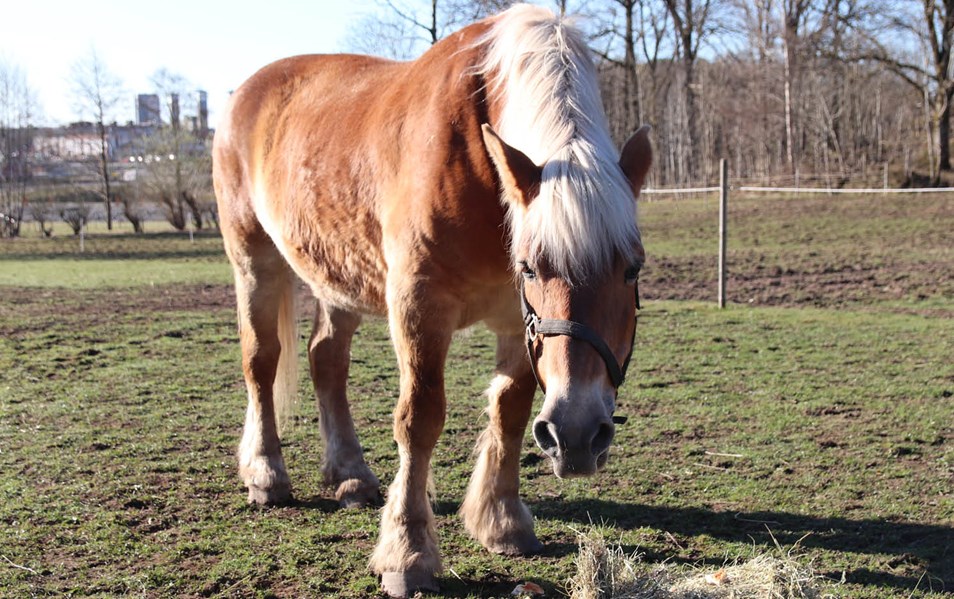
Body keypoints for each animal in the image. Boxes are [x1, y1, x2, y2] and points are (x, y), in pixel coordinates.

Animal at [212, 3, 652, 596]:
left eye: (632, 268)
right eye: (532, 267)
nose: (578, 436)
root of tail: (245, 92)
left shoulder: (517, 320)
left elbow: (511, 411)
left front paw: (502, 521)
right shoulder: (420, 305)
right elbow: (419, 418)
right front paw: (408, 551)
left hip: (337, 275)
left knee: (326, 360)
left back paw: (350, 475)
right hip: (254, 261)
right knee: (262, 362)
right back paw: (265, 474)